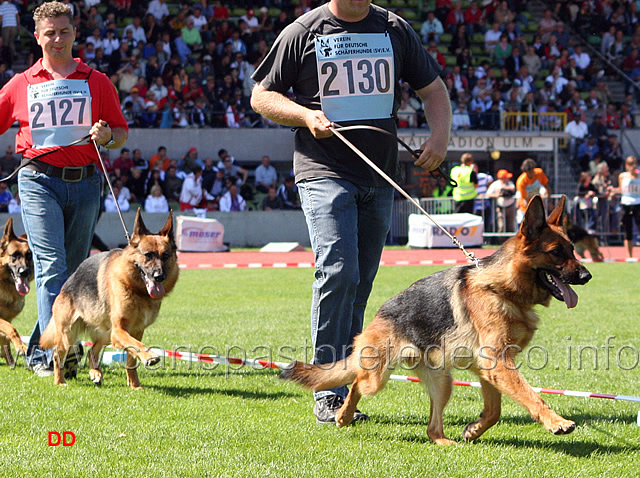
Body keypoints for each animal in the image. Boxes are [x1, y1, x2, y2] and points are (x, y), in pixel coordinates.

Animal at [40, 209, 178, 388]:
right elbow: (137, 345)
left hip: (106, 334)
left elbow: (132, 358)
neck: (137, 290)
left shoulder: (136, 331)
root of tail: (68, 282)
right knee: (57, 355)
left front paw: (135, 385)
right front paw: (150, 356)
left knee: (92, 351)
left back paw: (95, 373)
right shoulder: (119, 330)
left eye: (166, 255)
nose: (159, 276)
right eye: (148, 255)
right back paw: (60, 381)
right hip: (68, 334)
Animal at [282, 194, 592, 444]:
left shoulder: (489, 369)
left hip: (443, 383)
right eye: (556, 253)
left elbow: (494, 411)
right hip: (378, 377)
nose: (587, 276)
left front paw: (473, 430)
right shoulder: (497, 363)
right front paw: (557, 422)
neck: (503, 287)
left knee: (432, 428)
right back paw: (343, 415)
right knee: (357, 382)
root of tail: (378, 317)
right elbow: (531, 395)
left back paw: (445, 442)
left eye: (573, 250)